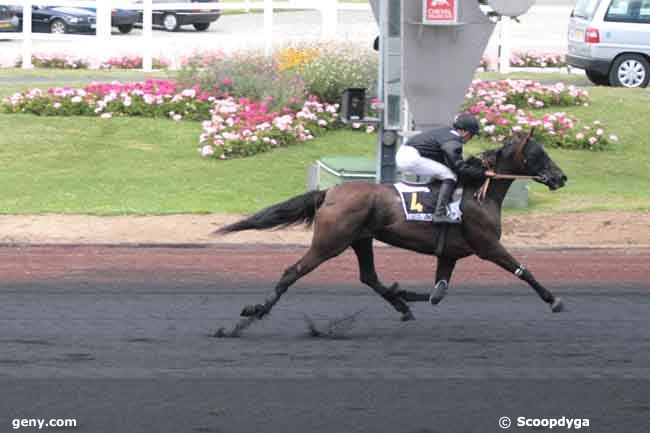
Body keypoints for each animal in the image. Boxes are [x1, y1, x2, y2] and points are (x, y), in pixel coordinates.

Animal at [215, 130, 564, 332]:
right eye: (539, 154)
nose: (562, 177)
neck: (479, 192)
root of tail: (329, 192)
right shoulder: (488, 246)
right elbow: (522, 270)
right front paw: (554, 300)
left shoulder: (449, 254)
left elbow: (438, 293)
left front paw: (404, 293)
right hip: (330, 242)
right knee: (293, 271)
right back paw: (252, 314)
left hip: (360, 240)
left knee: (368, 277)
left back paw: (401, 305)